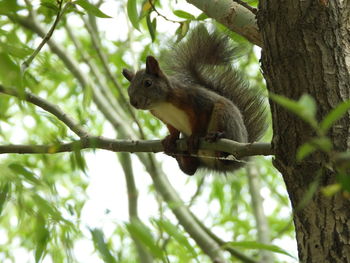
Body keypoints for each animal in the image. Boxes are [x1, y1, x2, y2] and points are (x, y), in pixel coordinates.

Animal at [121, 25, 266, 176]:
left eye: (148, 83)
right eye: (129, 89)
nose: (133, 103)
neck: (162, 104)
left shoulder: (195, 100)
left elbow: (202, 118)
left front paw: (195, 136)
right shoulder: (164, 117)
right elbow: (172, 129)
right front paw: (171, 139)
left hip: (225, 115)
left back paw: (217, 137)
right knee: (191, 169)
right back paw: (179, 156)